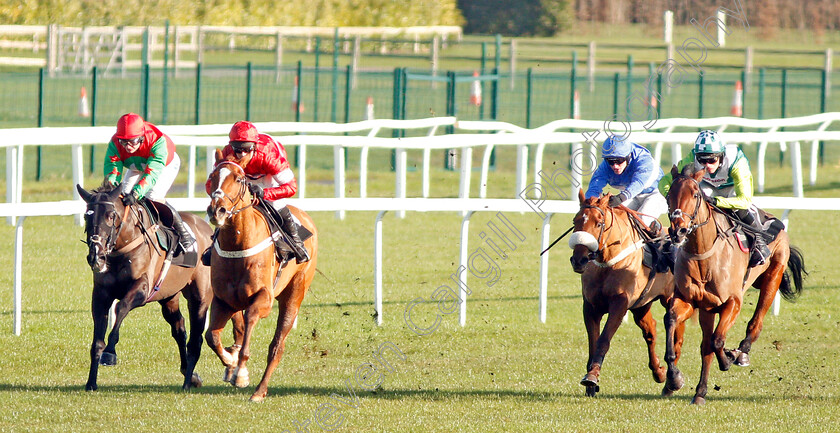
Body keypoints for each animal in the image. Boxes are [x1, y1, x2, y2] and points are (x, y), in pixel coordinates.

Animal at [76, 182, 213, 392]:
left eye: (110, 215)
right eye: (86, 216)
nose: (95, 256)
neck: (122, 249)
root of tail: (207, 229)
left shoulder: (142, 287)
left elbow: (121, 306)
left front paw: (110, 352)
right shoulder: (100, 294)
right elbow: (97, 340)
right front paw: (91, 382)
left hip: (200, 297)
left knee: (195, 339)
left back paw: (187, 383)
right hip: (168, 296)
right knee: (179, 327)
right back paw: (189, 374)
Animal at [205, 150, 320, 400]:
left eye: (239, 179)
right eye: (212, 177)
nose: (217, 210)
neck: (238, 244)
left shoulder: (263, 299)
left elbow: (249, 320)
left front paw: (240, 373)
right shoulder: (222, 300)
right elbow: (212, 337)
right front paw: (230, 362)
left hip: (294, 293)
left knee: (277, 346)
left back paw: (260, 391)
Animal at [568, 191, 672, 396]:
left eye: (598, 223)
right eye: (576, 220)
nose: (579, 260)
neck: (607, 263)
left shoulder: (619, 304)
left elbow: (603, 340)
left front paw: (592, 376)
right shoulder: (590, 307)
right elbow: (593, 341)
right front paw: (591, 382)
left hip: (670, 298)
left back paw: (672, 380)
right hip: (641, 305)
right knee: (650, 330)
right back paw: (659, 372)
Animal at [664, 164, 808, 404]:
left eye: (695, 194)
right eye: (668, 196)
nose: (679, 231)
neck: (703, 254)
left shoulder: (733, 302)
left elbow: (718, 340)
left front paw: (729, 358)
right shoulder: (689, 300)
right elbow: (672, 320)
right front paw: (674, 377)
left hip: (773, 277)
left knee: (755, 323)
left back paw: (742, 353)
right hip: (707, 310)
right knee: (705, 345)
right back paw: (700, 392)